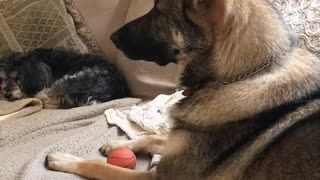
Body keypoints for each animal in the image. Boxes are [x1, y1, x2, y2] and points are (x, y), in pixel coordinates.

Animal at [47, 0, 320, 179]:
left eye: (158, 12)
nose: (112, 37)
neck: (241, 76)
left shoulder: (157, 177)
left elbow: (102, 167)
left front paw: (67, 160)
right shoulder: (176, 143)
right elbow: (154, 137)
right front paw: (117, 145)